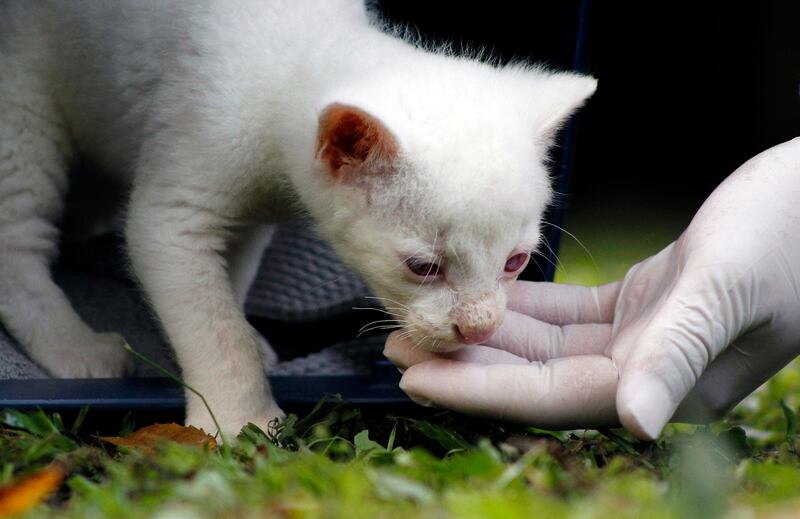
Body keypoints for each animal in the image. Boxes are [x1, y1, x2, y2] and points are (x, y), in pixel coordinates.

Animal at [0, 0, 592, 436]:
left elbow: (228, 288)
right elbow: (216, 330)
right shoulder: (175, 213)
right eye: (423, 267)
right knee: (17, 244)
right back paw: (72, 346)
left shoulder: (248, 220)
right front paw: (241, 421)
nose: (479, 327)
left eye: (516, 262)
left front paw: (244, 338)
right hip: (23, 107)